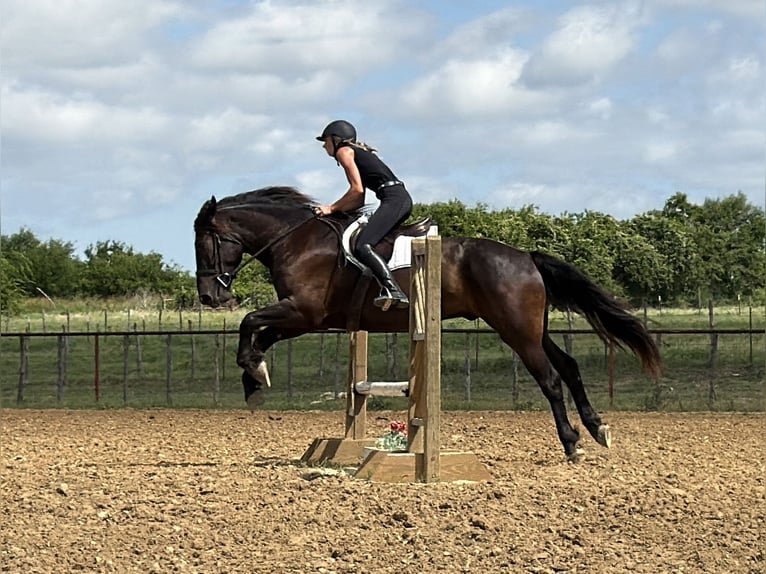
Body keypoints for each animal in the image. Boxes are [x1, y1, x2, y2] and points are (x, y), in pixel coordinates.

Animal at [194, 186, 662, 461]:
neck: (297, 239)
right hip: (533, 329)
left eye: (205, 243)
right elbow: (261, 333)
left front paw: (253, 376)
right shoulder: (306, 317)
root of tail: (526, 257)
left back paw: (571, 443)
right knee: (569, 366)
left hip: (516, 330)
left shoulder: (305, 312)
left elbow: (250, 323)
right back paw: (597, 429)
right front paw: (255, 379)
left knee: (549, 378)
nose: (210, 297)